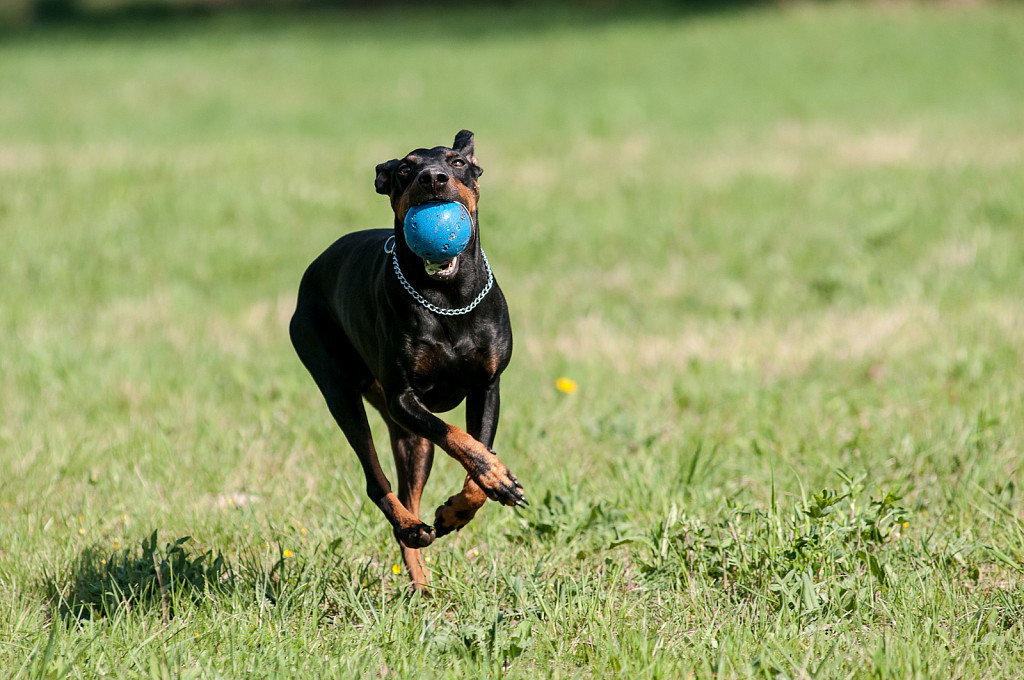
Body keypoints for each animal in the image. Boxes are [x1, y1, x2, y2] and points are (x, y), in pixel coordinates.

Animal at [290, 130, 524, 585]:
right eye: (403, 169)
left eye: (457, 162)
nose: (432, 178)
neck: (447, 297)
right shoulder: (402, 397)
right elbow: (459, 437)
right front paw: (495, 480)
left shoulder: (488, 386)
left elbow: (479, 452)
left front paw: (463, 506)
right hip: (339, 390)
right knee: (375, 478)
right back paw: (410, 527)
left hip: (411, 439)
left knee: (408, 489)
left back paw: (421, 576)